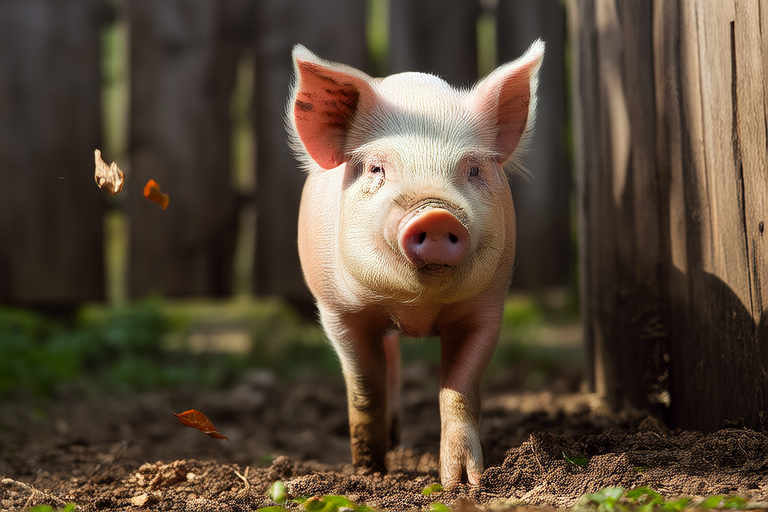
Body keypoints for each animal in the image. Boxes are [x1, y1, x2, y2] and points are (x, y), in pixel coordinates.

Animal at [287, 40, 544, 487]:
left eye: (473, 170)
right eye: (376, 168)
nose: (437, 215)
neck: (418, 311)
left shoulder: (487, 307)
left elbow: (460, 390)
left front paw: (464, 483)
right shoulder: (337, 312)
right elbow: (365, 387)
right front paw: (369, 474)